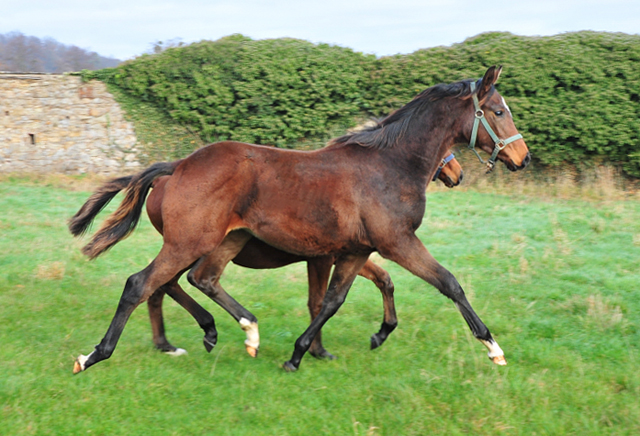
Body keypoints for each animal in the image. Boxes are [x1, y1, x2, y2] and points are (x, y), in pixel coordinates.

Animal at [70, 66, 528, 372]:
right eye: (498, 111)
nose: (522, 158)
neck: (390, 165)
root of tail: (178, 166)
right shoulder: (396, 242)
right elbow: (449, 283)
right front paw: (494, 347)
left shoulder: (354, 251)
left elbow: (332, 300)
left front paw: (306, 352)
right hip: (189, 242)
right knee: (142, 284)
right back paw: (96, 355)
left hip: (223, 241)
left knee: (196, 280)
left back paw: (236, 331)